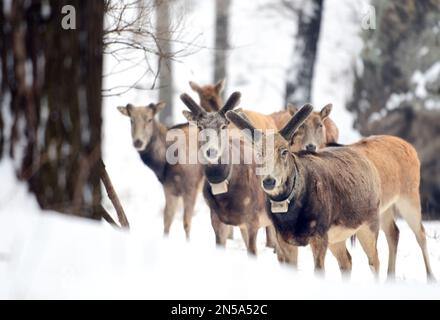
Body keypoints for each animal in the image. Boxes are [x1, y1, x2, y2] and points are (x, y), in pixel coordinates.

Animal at [118, 102, 205, 240]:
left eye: (149, 119)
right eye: (131, 120)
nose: (138, 142)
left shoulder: (191, 185)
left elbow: (186, 223)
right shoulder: (169, 187)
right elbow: (167, 220)